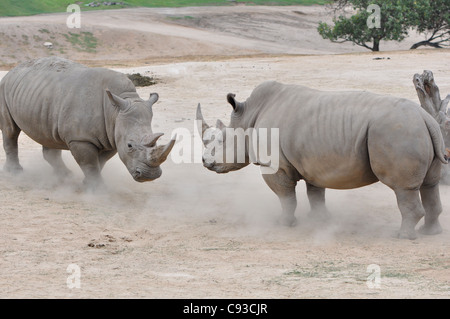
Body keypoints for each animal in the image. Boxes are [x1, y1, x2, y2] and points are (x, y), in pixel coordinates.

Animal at [0, 57, 176, 189]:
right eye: (130, 145)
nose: (150, 176)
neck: (115, 110)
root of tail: (13, 69)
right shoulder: (81, 138)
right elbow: (89, 163)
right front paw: (98, 191)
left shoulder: (111, 136)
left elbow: (100, 162)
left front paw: (87, 184)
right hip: (5, 88)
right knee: (10, 131)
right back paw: (15, 173)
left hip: (42, 98)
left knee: (49, 136)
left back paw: (64, 176)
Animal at [199, 80, 448, 240]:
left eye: (220, 141)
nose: (204, 162)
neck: (248, 118)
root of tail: (425, 117)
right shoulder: (313, 162)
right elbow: (316, 194)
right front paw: (319, 220)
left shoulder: (275, 165)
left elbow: (286, 197)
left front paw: (284, 224)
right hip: (419, 131)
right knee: (430, 185)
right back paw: (430, 233)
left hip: (396, 132)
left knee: (403, 188)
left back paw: (403, 237)